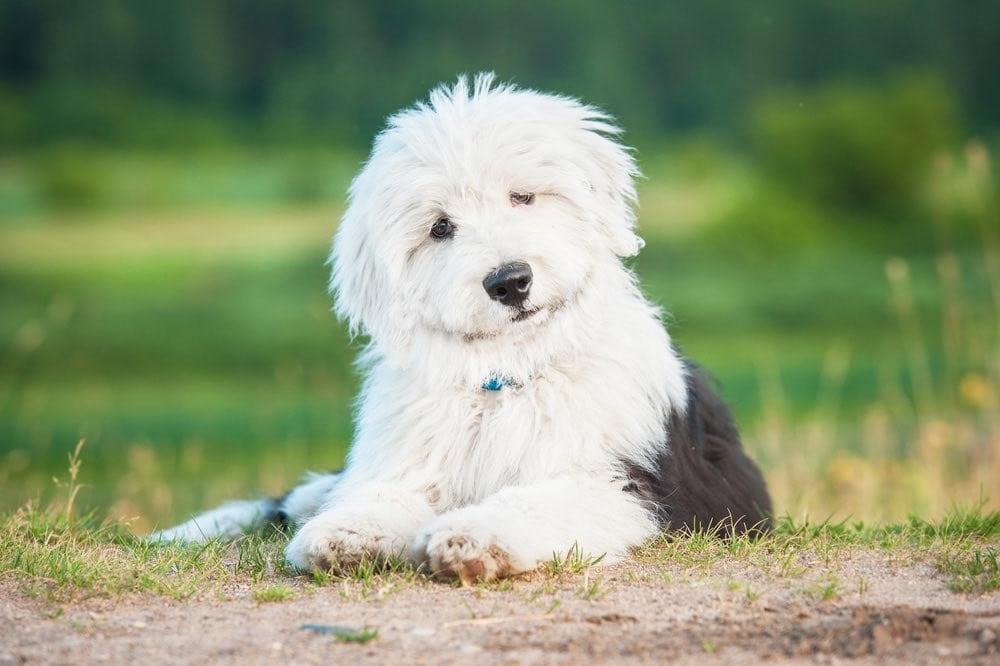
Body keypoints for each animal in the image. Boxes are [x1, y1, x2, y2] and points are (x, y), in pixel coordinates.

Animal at [150, 74, 772, 580]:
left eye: (523, 196)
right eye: (441, 227)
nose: (510, 282)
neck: (505, 374)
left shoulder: (618, 482)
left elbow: (536, 502)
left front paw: (471, 537)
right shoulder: (411, 459)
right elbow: (384, 494)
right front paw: (347, 535)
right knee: (293, 497)